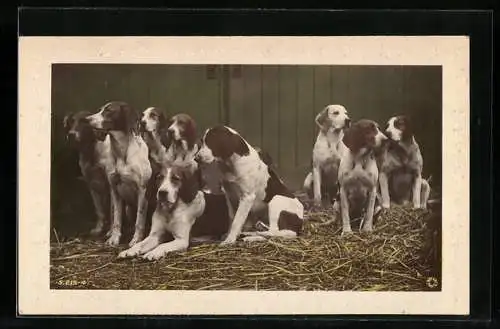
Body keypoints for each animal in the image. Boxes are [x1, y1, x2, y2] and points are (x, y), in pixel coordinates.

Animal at [86, 101, 152, 245]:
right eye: (100, 109)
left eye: (109, 111)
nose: (87, 119)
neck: (122, 152)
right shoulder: (115, 190)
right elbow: (116, 217)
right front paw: (114, 238)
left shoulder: (143, 191)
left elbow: (140, 220)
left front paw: (136, 240)